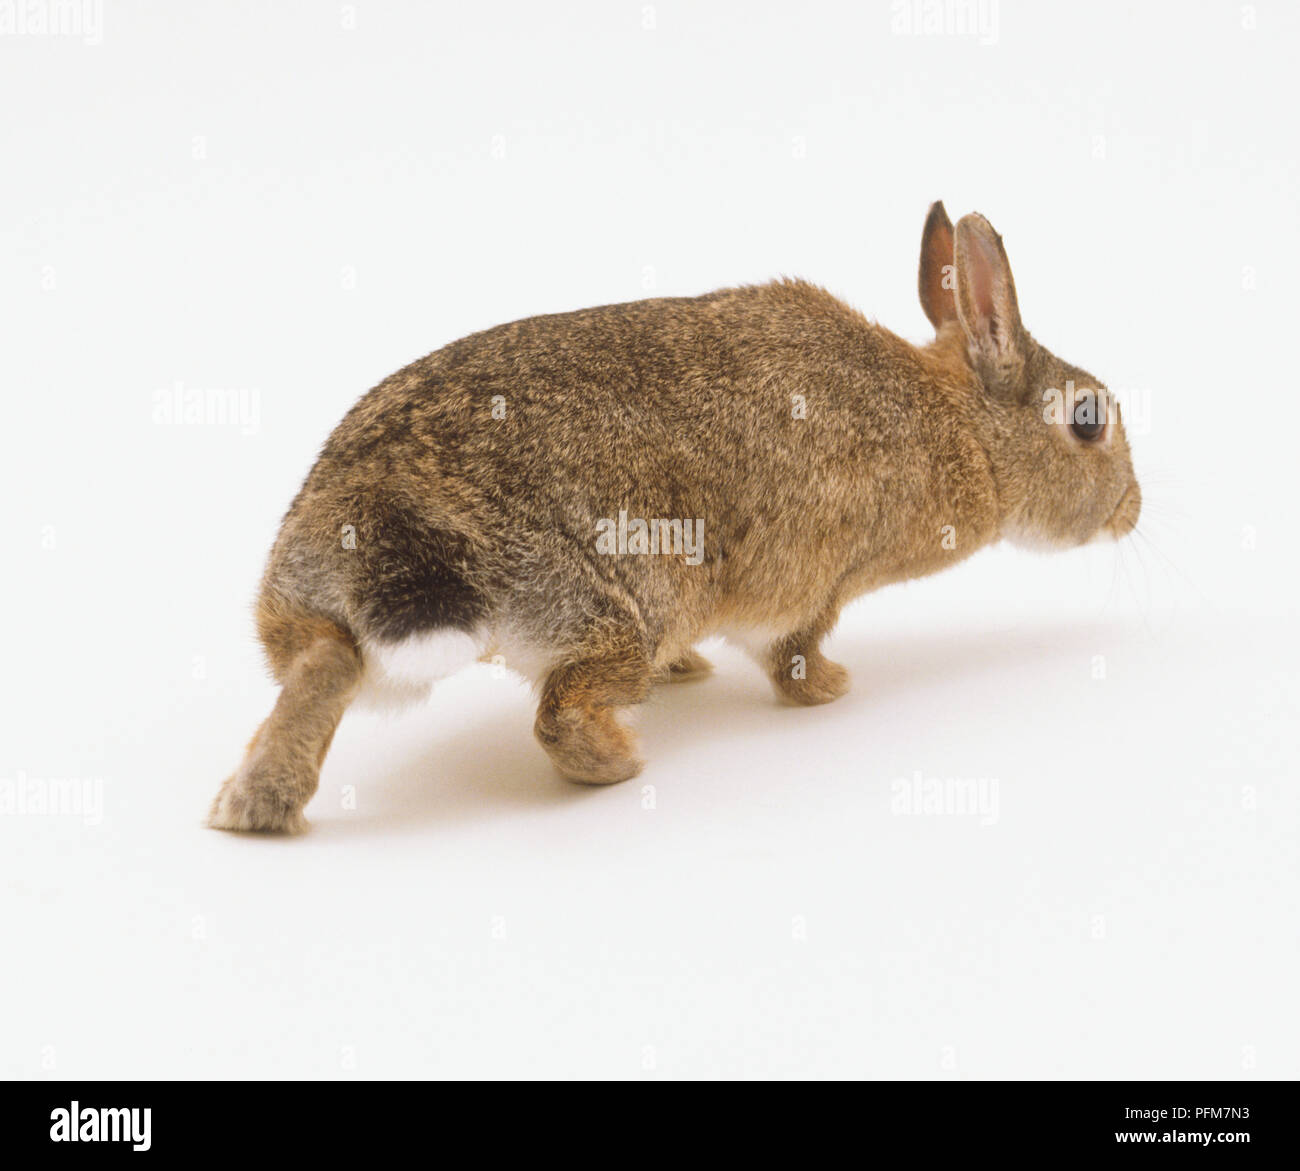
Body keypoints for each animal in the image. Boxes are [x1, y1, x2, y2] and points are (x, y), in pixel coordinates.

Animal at [208, 202, 1141, 833]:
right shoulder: (822, 584)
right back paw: (621, 760)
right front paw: (832, 690)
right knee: (558, 711)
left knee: (325, 664)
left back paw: (247, 808)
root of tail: (361, 540)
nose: (1133, 509)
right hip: (610, 612)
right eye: (1088, 419)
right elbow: (792, 651)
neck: (965, 427)